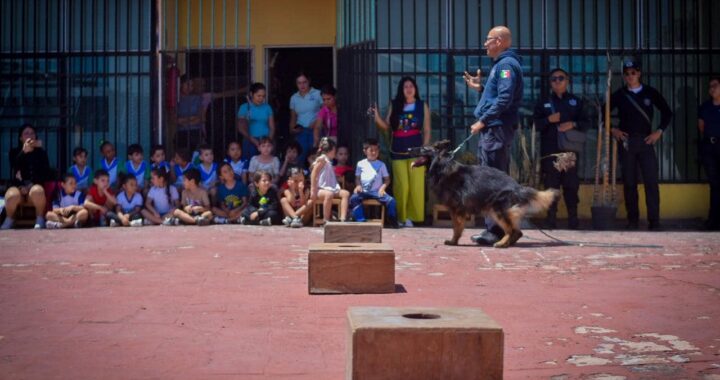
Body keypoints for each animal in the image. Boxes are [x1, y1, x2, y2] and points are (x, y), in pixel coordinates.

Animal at [410, 141, 556, 248]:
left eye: (423, 148)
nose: (409, 148)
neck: (442, 167)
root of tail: (517, 186)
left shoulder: (456, 210)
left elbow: (456, 228)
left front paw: (453, 241)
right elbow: (457, 227)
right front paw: (454, 241)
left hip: (498, 210)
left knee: (513, 231)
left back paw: (502, 243)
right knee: (518, 232)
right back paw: (508, 243)